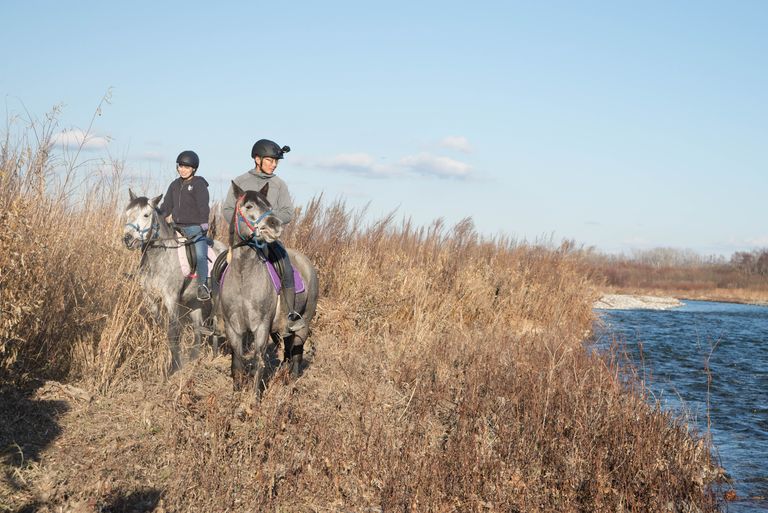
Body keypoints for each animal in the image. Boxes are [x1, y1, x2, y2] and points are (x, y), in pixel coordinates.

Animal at [122, 188, 225, 372]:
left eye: (146, 215)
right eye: (127, 213)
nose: (128, 239)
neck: (159, 257)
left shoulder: (171, 299)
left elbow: (173, 331)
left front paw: (173, 367)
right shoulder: (150, 298)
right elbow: (160, 325)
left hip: (217, 298)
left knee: (217, 326)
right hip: (194, 302)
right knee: (198, 329)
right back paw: (194, 358)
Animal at [218, 182, 320, 394]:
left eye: (269, 205)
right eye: (249, 206)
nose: (275, 224)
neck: (244, 276)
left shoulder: (261, 327)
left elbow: (259, 362)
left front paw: (255, 398)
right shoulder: (233, 328)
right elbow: (237, 362)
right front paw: (236, 393)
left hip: (304, 321)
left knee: (297, 352)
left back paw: (292, 383)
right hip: (280, 329)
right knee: (288, 350)